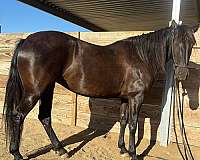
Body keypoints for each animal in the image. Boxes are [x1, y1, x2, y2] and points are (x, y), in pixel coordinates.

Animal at [3, 21, 198, 160]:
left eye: (193, 43)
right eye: (175, 42)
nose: (182, 74)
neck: (141, 56)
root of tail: (26, 41)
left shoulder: (125, 98)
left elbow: (123, 121)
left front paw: (122, 149)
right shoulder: (137, 97)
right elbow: (133, 124)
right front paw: (134, 154)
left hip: (47, 89)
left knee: (44, 117)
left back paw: (61, 149)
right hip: (34, 92)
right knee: (18, 115)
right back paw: (17, 153)